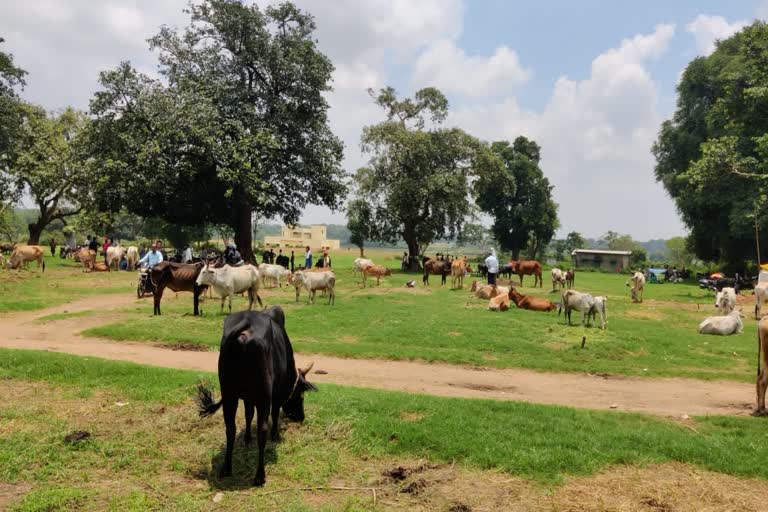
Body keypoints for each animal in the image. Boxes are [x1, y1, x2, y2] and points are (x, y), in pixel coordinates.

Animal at [198, 306, 320, 486]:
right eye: (301, 396)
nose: (301, 417)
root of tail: (245, 325)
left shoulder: (248, 398)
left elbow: (248, 415)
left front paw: (247, 437)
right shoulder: (274, 396)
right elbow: (274, 415)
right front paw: (275, 435)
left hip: (229, 394)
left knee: (230, 428)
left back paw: (227, 468)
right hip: (262, 397)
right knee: (262, 430)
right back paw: (259, 475)